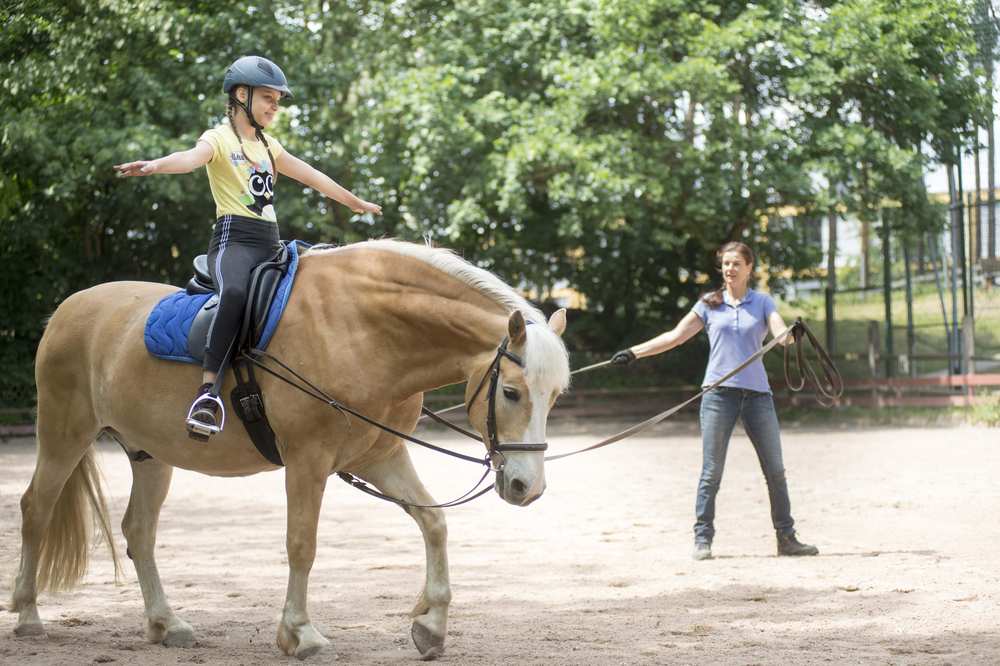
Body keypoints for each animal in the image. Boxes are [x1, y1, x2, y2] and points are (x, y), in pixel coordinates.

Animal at [9, 237, 572, 652]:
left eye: (555, 395)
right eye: (511, 391)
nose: (527, 487)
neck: (364, 330)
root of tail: (69, 309)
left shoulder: (381, 456)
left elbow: (434, 523)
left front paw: (430, 625)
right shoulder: (308, 460)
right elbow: (302, 543)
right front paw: (300, 634)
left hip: (150, 454)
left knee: (139, 531)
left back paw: (167, 624)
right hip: (64, 433)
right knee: (36, 508)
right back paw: (29, 614)